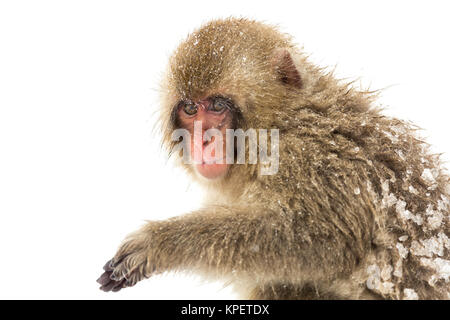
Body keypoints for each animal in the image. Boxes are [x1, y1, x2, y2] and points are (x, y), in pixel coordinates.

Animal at [96, 17, 448, 298]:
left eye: (218, 106)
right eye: (191, 109)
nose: (203, 141)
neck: (283, 122)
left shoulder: (312, 163)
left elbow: (325, 240)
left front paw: (163, 243)